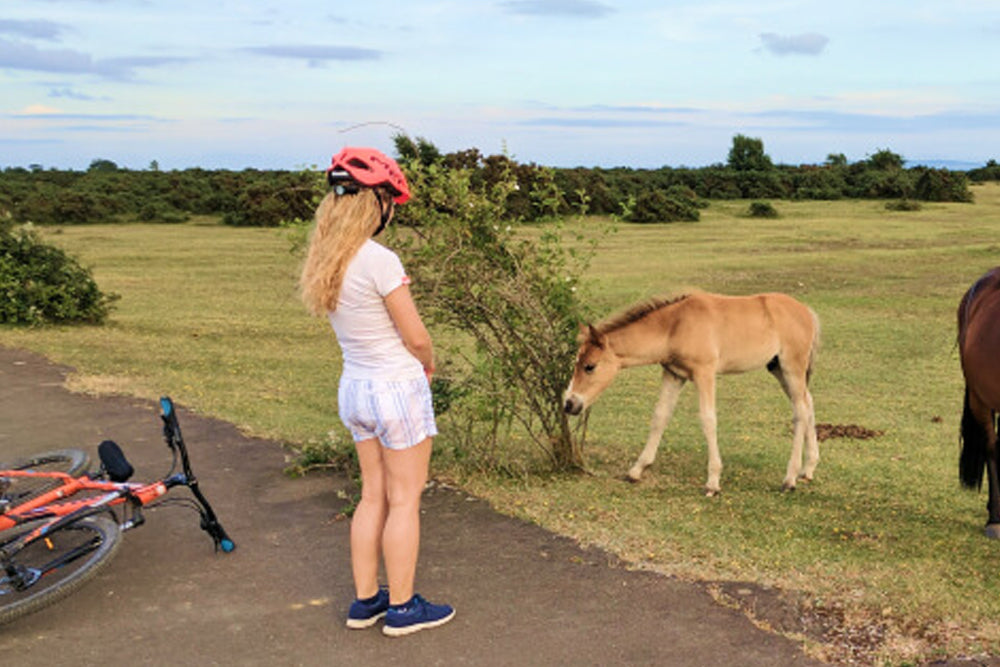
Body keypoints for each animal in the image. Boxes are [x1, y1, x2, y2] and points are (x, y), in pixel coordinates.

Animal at [563, 290, 820, 496]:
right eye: (576, 362)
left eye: (590, 366)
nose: (569, 404)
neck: (675, 326)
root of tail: (807, 311)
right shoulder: (674, 375)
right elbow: (660, 416)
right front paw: (636, 470)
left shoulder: (704, 373)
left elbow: (708, 420)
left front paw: (713, 482)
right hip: (777, 368)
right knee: (808, 402)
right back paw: (808, 469)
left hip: (792, 367)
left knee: (799, 411)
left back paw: (789, 479)